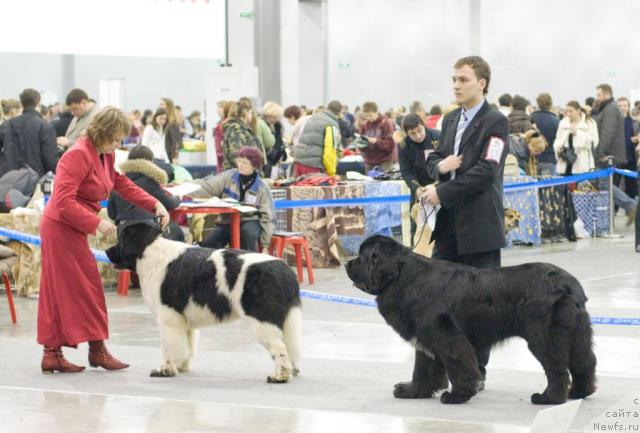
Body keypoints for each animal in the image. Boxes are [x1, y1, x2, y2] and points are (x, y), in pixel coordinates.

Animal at [105, 219, 302, 382]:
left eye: (121, 239)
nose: (106, 251)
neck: (149, 252)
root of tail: (285, 269)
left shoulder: (167, 317)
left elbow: (168, 347)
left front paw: (165, 370)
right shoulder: (183, 321)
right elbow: (186, 346)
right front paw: (181, 366)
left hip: (261, 320)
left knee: (279, 347)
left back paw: (280, 376)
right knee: (289, 345)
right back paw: (291, 371)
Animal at [348, 235, 596, 404]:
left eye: (362, 258)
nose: (348, 264)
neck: (405, 277)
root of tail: (568, 283)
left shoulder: (446, 335)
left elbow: (459, 365)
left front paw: (457, 395)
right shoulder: (425, 338)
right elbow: (422, 368)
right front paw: (412, 392)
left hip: (543, 335)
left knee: (557, 367)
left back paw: (549, 398)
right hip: (577, 331)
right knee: (585, 362)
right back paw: (578, 393)